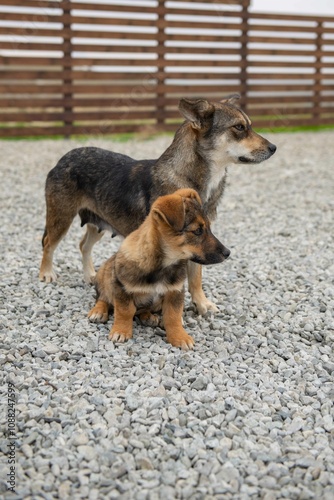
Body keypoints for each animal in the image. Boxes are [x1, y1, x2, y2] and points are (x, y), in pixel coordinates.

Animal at [87, 189, 231, 350]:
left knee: (143, 309)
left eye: (208, 228)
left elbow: (173, 316)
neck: (162, 265)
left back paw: (149, 317)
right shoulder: (121, 288)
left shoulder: (175, 291)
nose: (228, 253)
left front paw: (179, 336)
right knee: (103, 297)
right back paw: (98, 311)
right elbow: (125, 311)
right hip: (104, 275)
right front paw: (121, 331)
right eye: (198, 231)